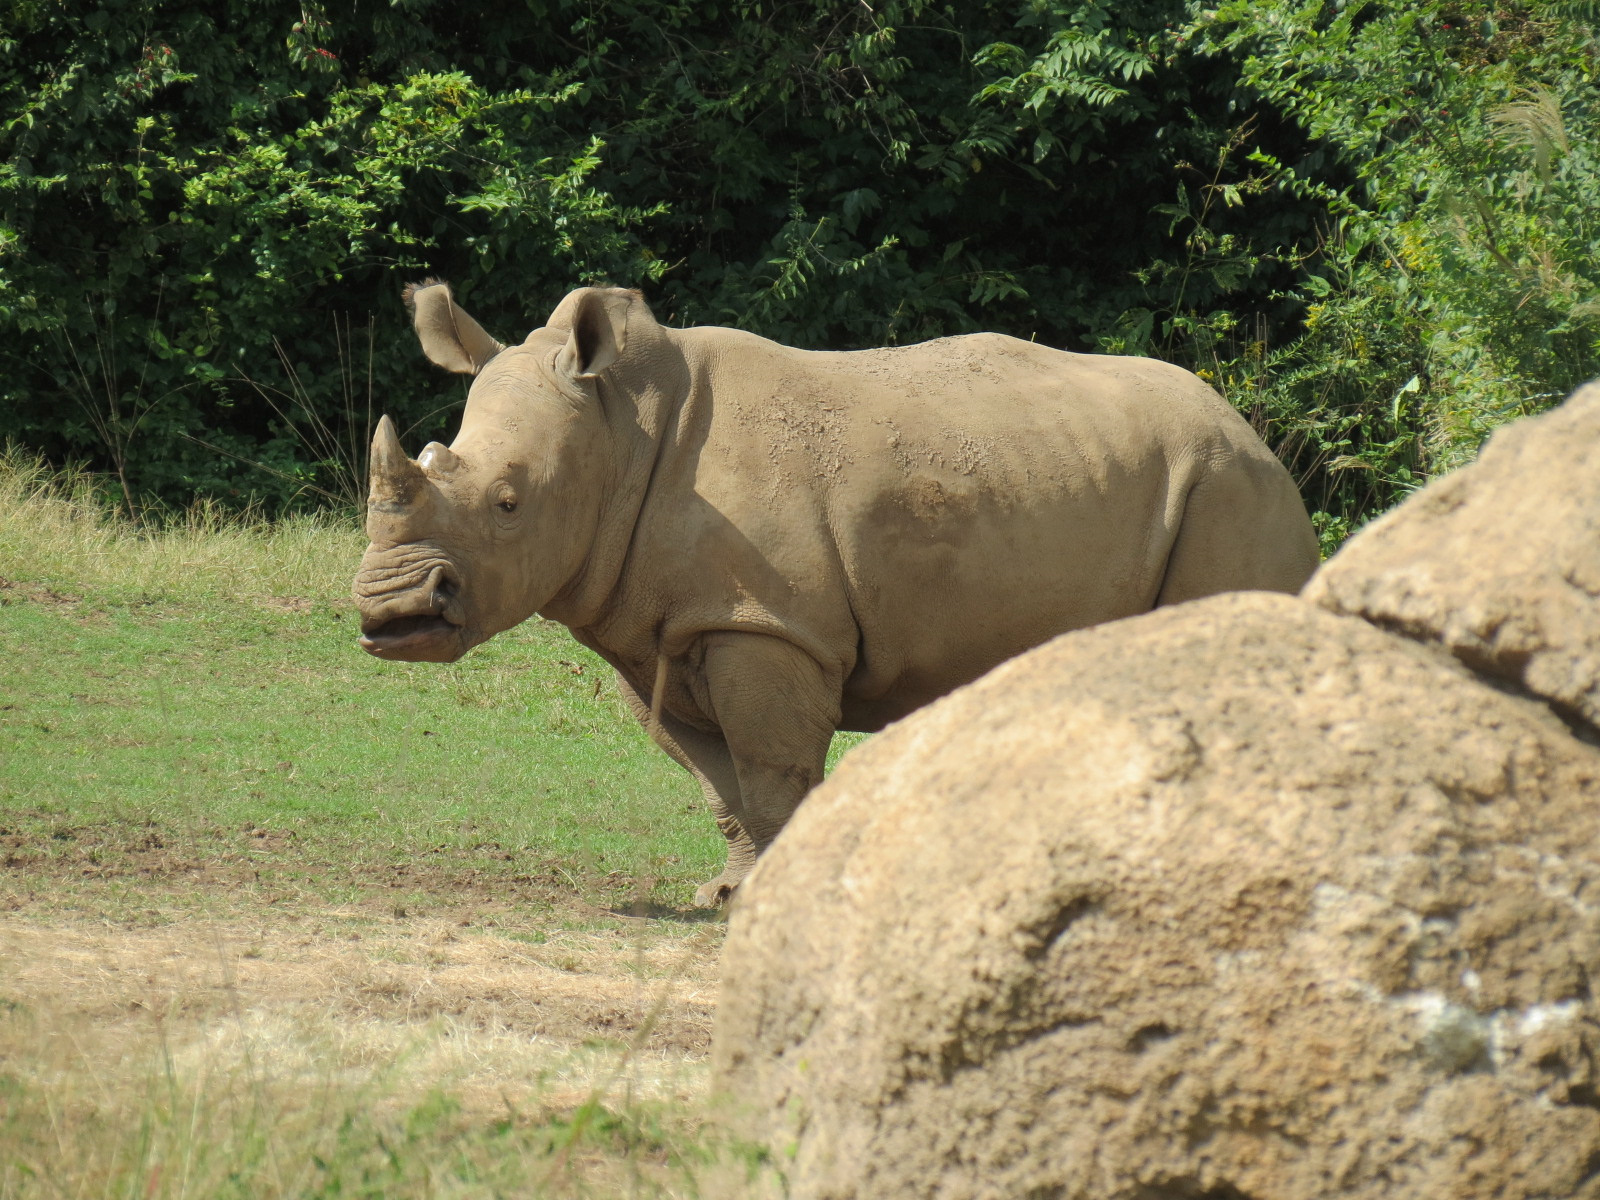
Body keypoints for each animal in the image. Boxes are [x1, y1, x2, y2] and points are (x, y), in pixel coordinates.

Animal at [353, 282, 1319, 905]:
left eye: (508, 504)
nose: (388, 611)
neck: (620, 430)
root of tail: (1251, 431)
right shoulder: (658, 631)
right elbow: (716, 782)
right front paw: (725, 894)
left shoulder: (768, 626)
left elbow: (772, 772)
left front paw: (775, 899)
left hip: (1231, 489)